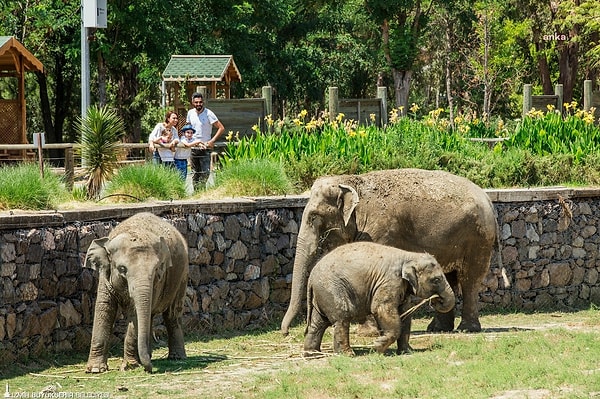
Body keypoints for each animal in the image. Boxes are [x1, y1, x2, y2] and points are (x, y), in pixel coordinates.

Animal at [84, 214, 188, 374]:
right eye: (122, 269)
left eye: (157, 270)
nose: (149, 369)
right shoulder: (105, 276)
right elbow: (104, 307)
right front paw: (95, 370)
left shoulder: (157, 282)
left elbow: (135, 315)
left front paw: (129, 366)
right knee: (150, 315)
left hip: (182, 276)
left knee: (172, 314)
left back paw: (176, 358)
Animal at [282, 168, 496, 334]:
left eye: (314, 217)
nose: (286, 332)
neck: (351, 181)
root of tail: (487, 197)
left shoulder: (380, 229)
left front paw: (368, 333)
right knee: (449, 277)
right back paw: (438, 328)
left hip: (478, 237)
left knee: (469, 279)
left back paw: (467, 329)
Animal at [304, 242, 454, 358]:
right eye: (436, 280)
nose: (436, 300)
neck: (409, 255)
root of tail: (311, 277)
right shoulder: (390, 281)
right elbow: (381, 308)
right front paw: (377, 347)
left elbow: (404, 314)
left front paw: (406, 352)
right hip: (332, 289)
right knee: (342, 318)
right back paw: (347, 354)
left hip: (322, 294)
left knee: (318, 323)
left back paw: (313, 354)